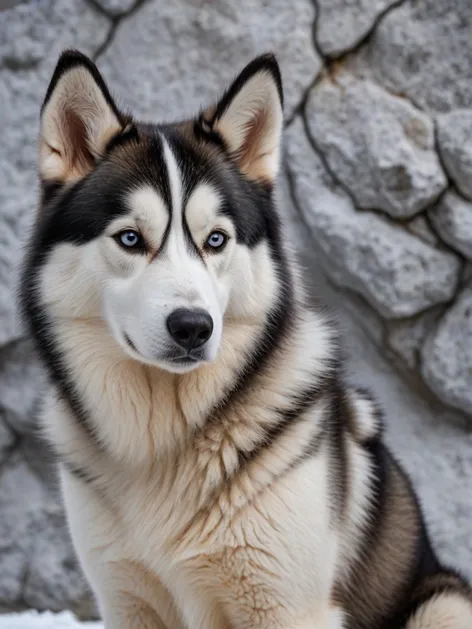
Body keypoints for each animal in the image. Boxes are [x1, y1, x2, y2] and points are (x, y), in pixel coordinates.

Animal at [21, 50, 472, 628]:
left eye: (216, 239)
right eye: (130, 238)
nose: (192, 326)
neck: (166, 442)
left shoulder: (289, 606)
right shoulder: (126, 601)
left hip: (443, 602)